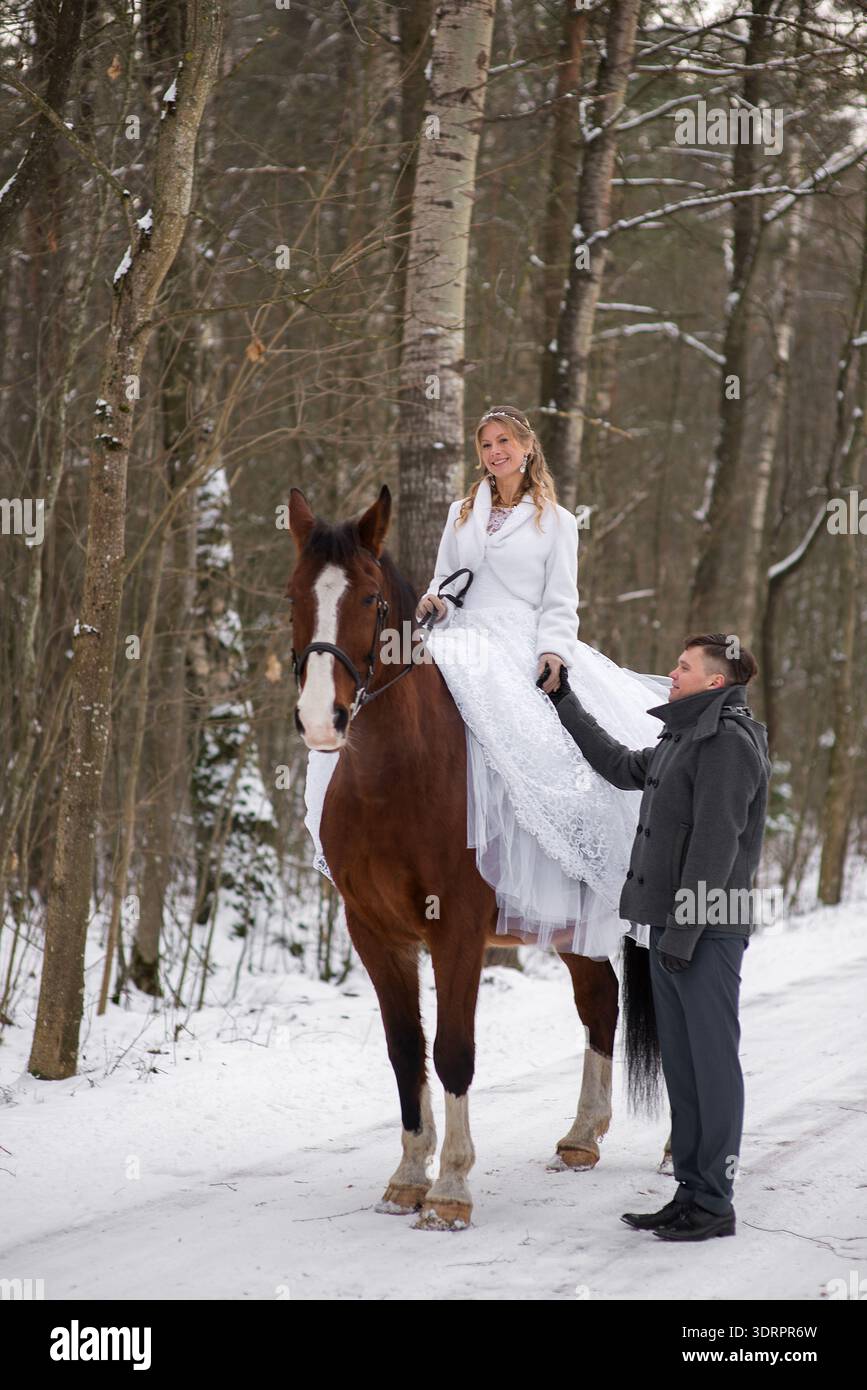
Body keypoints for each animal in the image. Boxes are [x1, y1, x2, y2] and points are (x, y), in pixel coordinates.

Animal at [287, 483, 664, 1230]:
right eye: (292, 595)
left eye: (369, 599)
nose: (321, 720)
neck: (398, 778)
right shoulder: (374, 933)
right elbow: (406, 1051)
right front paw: (408, 1178)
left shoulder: (457, 930)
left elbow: (453, 1051)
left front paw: (451, 1190)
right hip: (569, 925)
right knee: (600, 1002)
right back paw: (582, 1137)